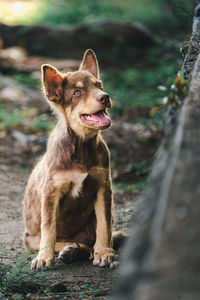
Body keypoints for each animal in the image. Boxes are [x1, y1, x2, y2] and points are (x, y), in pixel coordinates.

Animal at [22, 49, 121, 270]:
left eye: (99, 84)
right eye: (77, 92)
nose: (105, 97)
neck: (81, 145)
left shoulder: (103, 187)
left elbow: (105, 225)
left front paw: (105, 253)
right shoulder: (51, 191)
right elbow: (49, 228)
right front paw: (44, 258)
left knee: (95, 239)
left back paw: (86, 251)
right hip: (29, 238)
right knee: (62, 240)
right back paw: (70, 251)